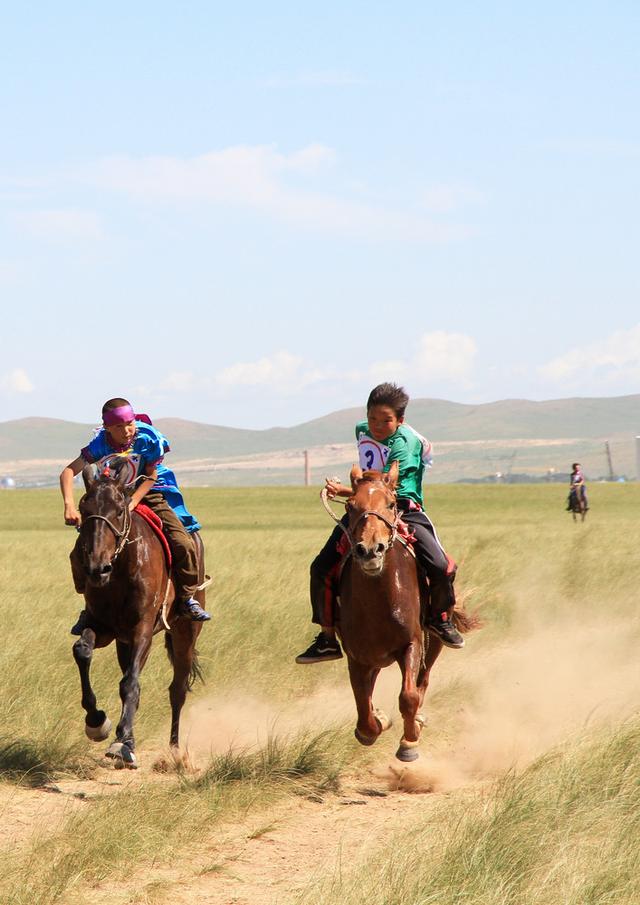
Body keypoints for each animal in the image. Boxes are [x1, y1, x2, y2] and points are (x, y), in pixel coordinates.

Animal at [73, 460, 208, 768]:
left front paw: (121, 744)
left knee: (177, 689)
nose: (97, 568)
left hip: (185, 634)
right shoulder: (103, 627)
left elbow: (130, 684)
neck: (121, 569)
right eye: (84, 509)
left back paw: (174, 750)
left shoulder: (142, 630)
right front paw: (97, 723)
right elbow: (82, 651)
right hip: (123, 642)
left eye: (120, 510)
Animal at [336, 462, 476, 760]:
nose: (370, 550)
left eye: (391, 504)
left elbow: (408, 696)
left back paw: (419, 719)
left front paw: (409, 742)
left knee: (423, 681)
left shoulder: (411, 643)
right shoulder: (357, 656)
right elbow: (363, 708)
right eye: (350, 506)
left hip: (434, 640)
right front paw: (377, 722)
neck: (378, 602)